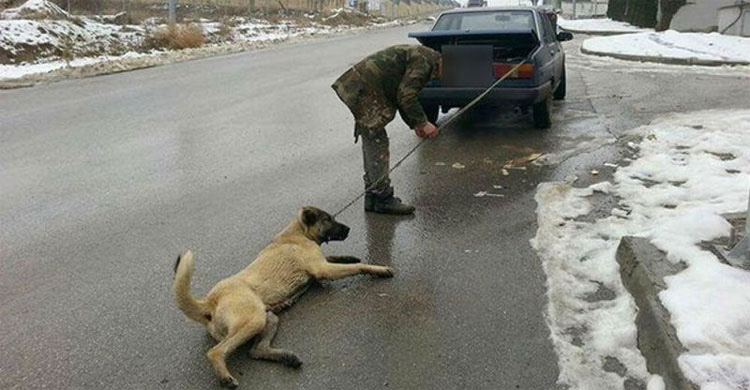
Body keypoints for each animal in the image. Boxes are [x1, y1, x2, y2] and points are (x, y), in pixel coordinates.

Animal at [173, 206, 396, 388]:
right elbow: (358, 267)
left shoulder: (321, 265)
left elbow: (337, 258)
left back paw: (286, 357)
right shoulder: (322, 269)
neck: (298, 232)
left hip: (268, 318)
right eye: (328, 219)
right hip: (253, 319)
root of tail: (209, 301)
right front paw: (379, 269)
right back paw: (225, 377)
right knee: (216, 351)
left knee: (256, 350)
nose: (348, 229)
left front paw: (349, 257)